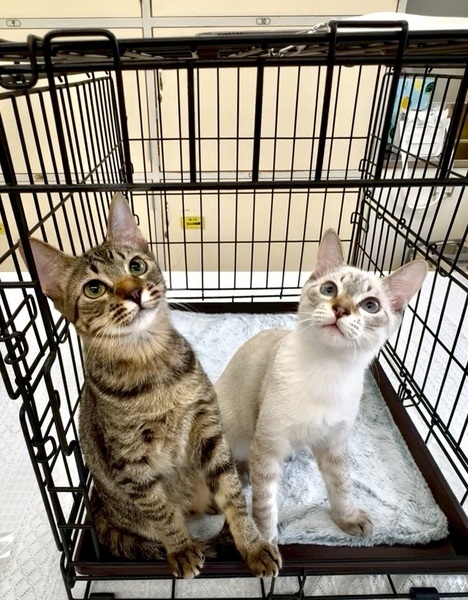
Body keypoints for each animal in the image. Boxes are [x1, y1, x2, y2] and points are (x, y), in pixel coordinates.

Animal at [22, 193, 281, 579]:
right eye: (94, 288)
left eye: (136, 265)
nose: (134, 292)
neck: (152, 368)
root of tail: (98, 508)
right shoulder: (130, 462)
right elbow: (160, 511)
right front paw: (182, 548)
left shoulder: (207, 428)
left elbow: (232, 493)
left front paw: (251, 543)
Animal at [215, 229, 428, 543]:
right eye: (329, 289)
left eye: (370, 305)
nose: (341, 309)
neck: (327, 371)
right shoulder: (267, 445)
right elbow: (265, 505)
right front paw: (266, 543)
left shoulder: (334, 444)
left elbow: (341, 486)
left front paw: (348, 519)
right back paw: (241, 473)